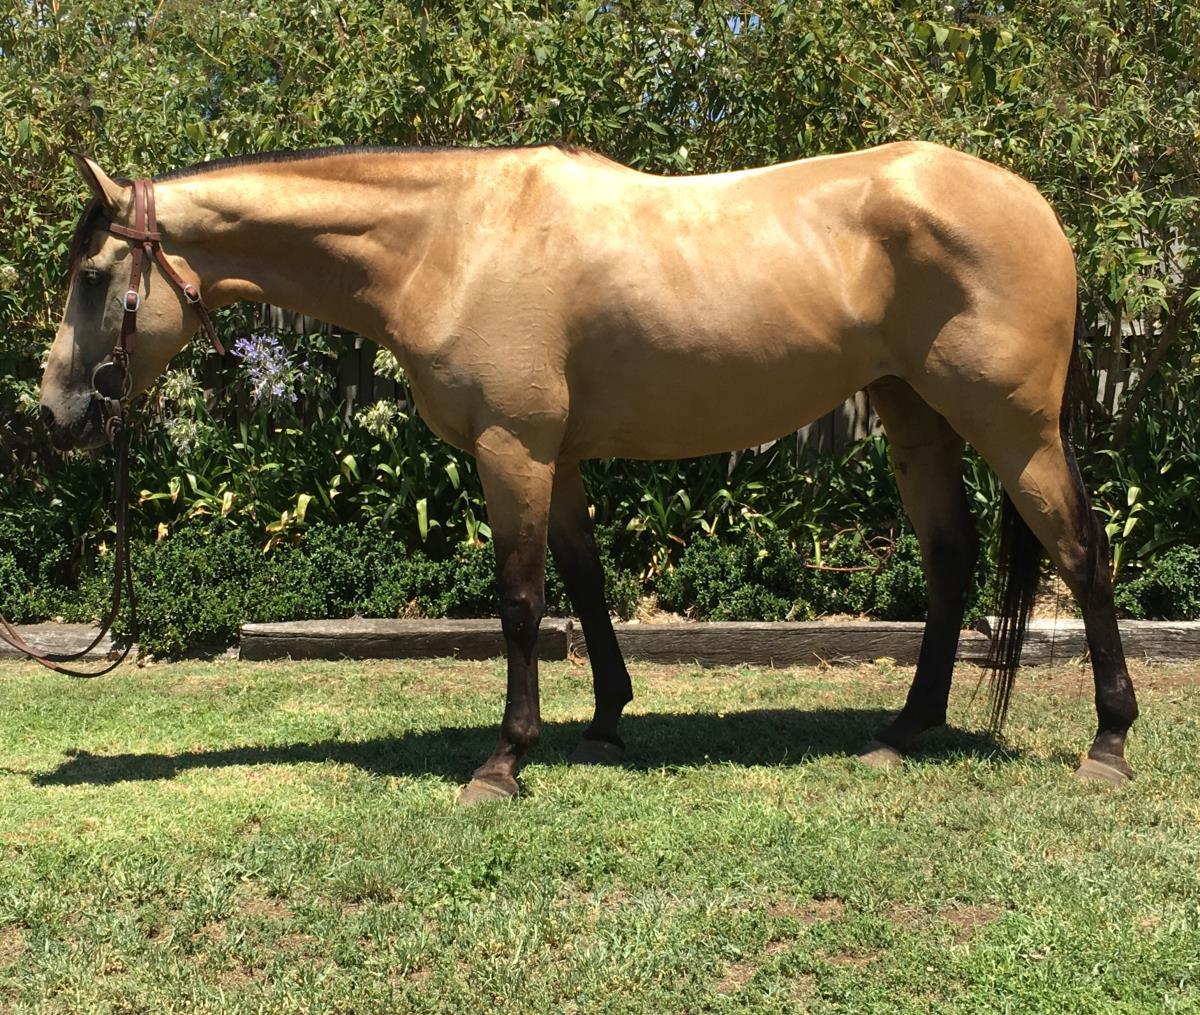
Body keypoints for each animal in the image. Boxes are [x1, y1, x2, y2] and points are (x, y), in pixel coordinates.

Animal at [40, 142, 1139, 804]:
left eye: (94, 277)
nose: (56, 414)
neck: (448, 241)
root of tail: (1031, 204)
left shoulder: (512, 448)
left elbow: (522, 602)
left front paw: (503, 760)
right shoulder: (553, 456)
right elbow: (586, 583)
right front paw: (607, 720)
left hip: (1014, 427)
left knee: (1085, 558)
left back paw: (1109, 742)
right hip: (918, 423)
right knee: (951, 566)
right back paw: (905, 729)